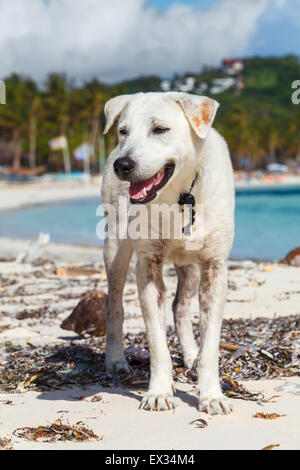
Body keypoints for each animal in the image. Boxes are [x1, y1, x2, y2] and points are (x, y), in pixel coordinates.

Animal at [101, 92, 234, 414]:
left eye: (160, 129)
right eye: (123, 131)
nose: (123, 165)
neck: (178, 196)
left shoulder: (214, 267)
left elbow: (210, 342)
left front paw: (211, 395)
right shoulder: (147, 265)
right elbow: (156, 340)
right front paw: (159, 393)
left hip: (191, 268)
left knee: (181, 308)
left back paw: (191, 356)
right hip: (115, 248)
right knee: (114, 305)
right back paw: (116, 360)